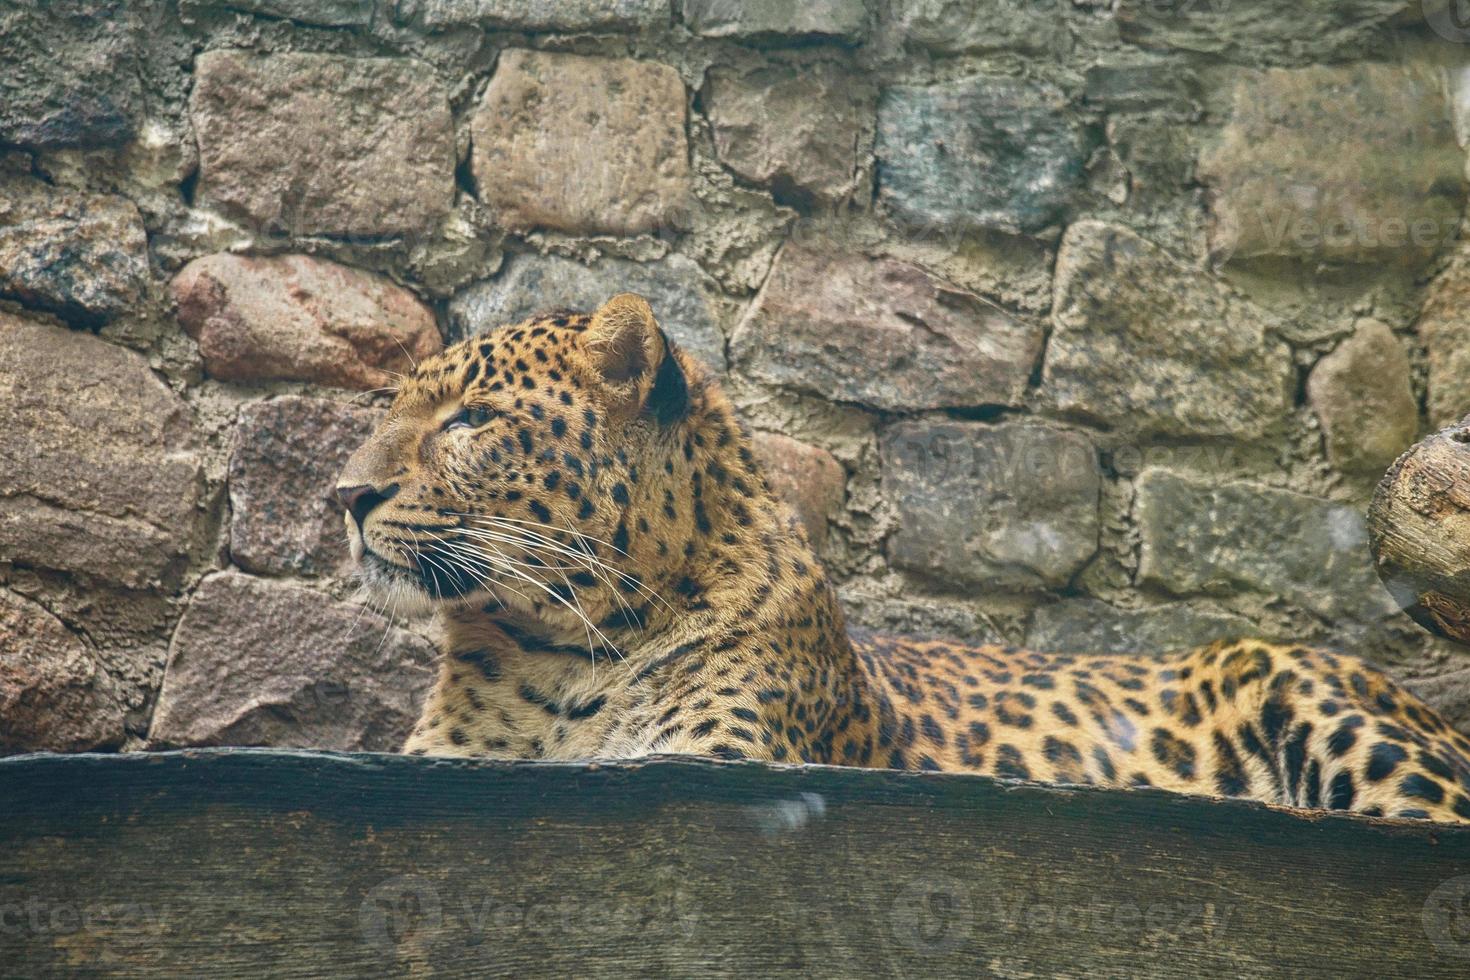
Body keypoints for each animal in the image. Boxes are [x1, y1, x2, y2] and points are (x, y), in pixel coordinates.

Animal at [336, 295, 1470, 822]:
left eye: (472, 420)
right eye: (390, 411)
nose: (344, 495)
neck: (557, 647)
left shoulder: (718, 761)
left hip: (1330, 704)